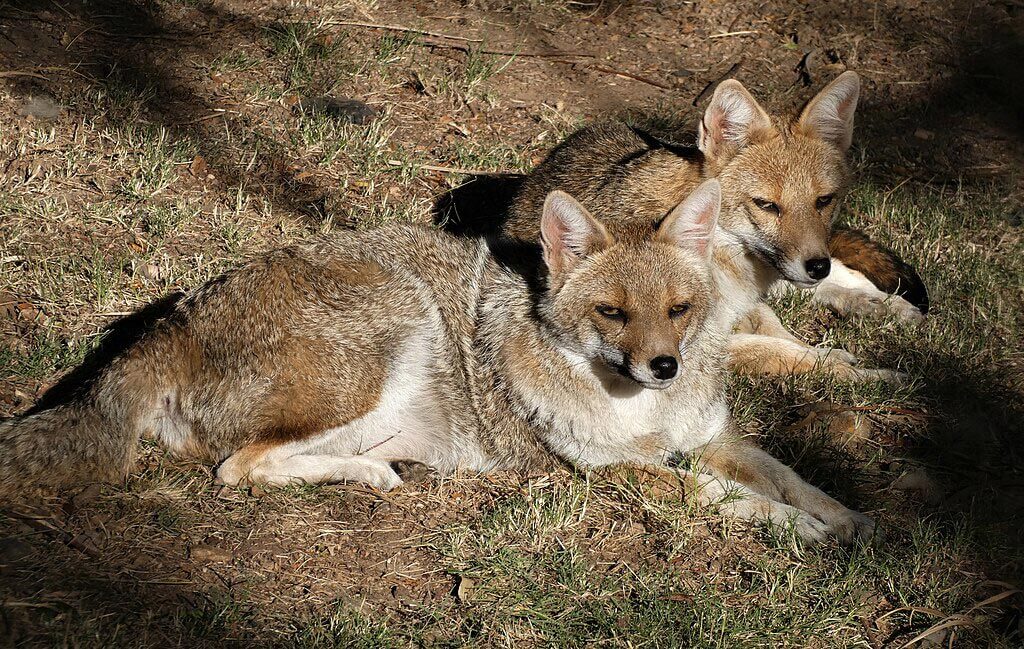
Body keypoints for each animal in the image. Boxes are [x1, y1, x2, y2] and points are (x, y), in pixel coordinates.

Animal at [0, 182, 872, 544]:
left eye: (680, 311)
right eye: (611, 314)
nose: (662, 366)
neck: (648, 414)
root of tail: (175, 317)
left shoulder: (714, 439)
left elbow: (791, 474)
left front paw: (853, 520)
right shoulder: (613, 473)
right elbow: (725, 498)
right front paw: (802, 530)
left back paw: (379, 470)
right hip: (397, 322)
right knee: (237, 469)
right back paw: (369, 474)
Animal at [495, 71, 927, 382]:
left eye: (824, 201)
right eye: (766, 205)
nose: (815, 265)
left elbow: (783, 333)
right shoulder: (703, 343)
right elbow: (781, 348)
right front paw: (866, 372)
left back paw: (884, 304)